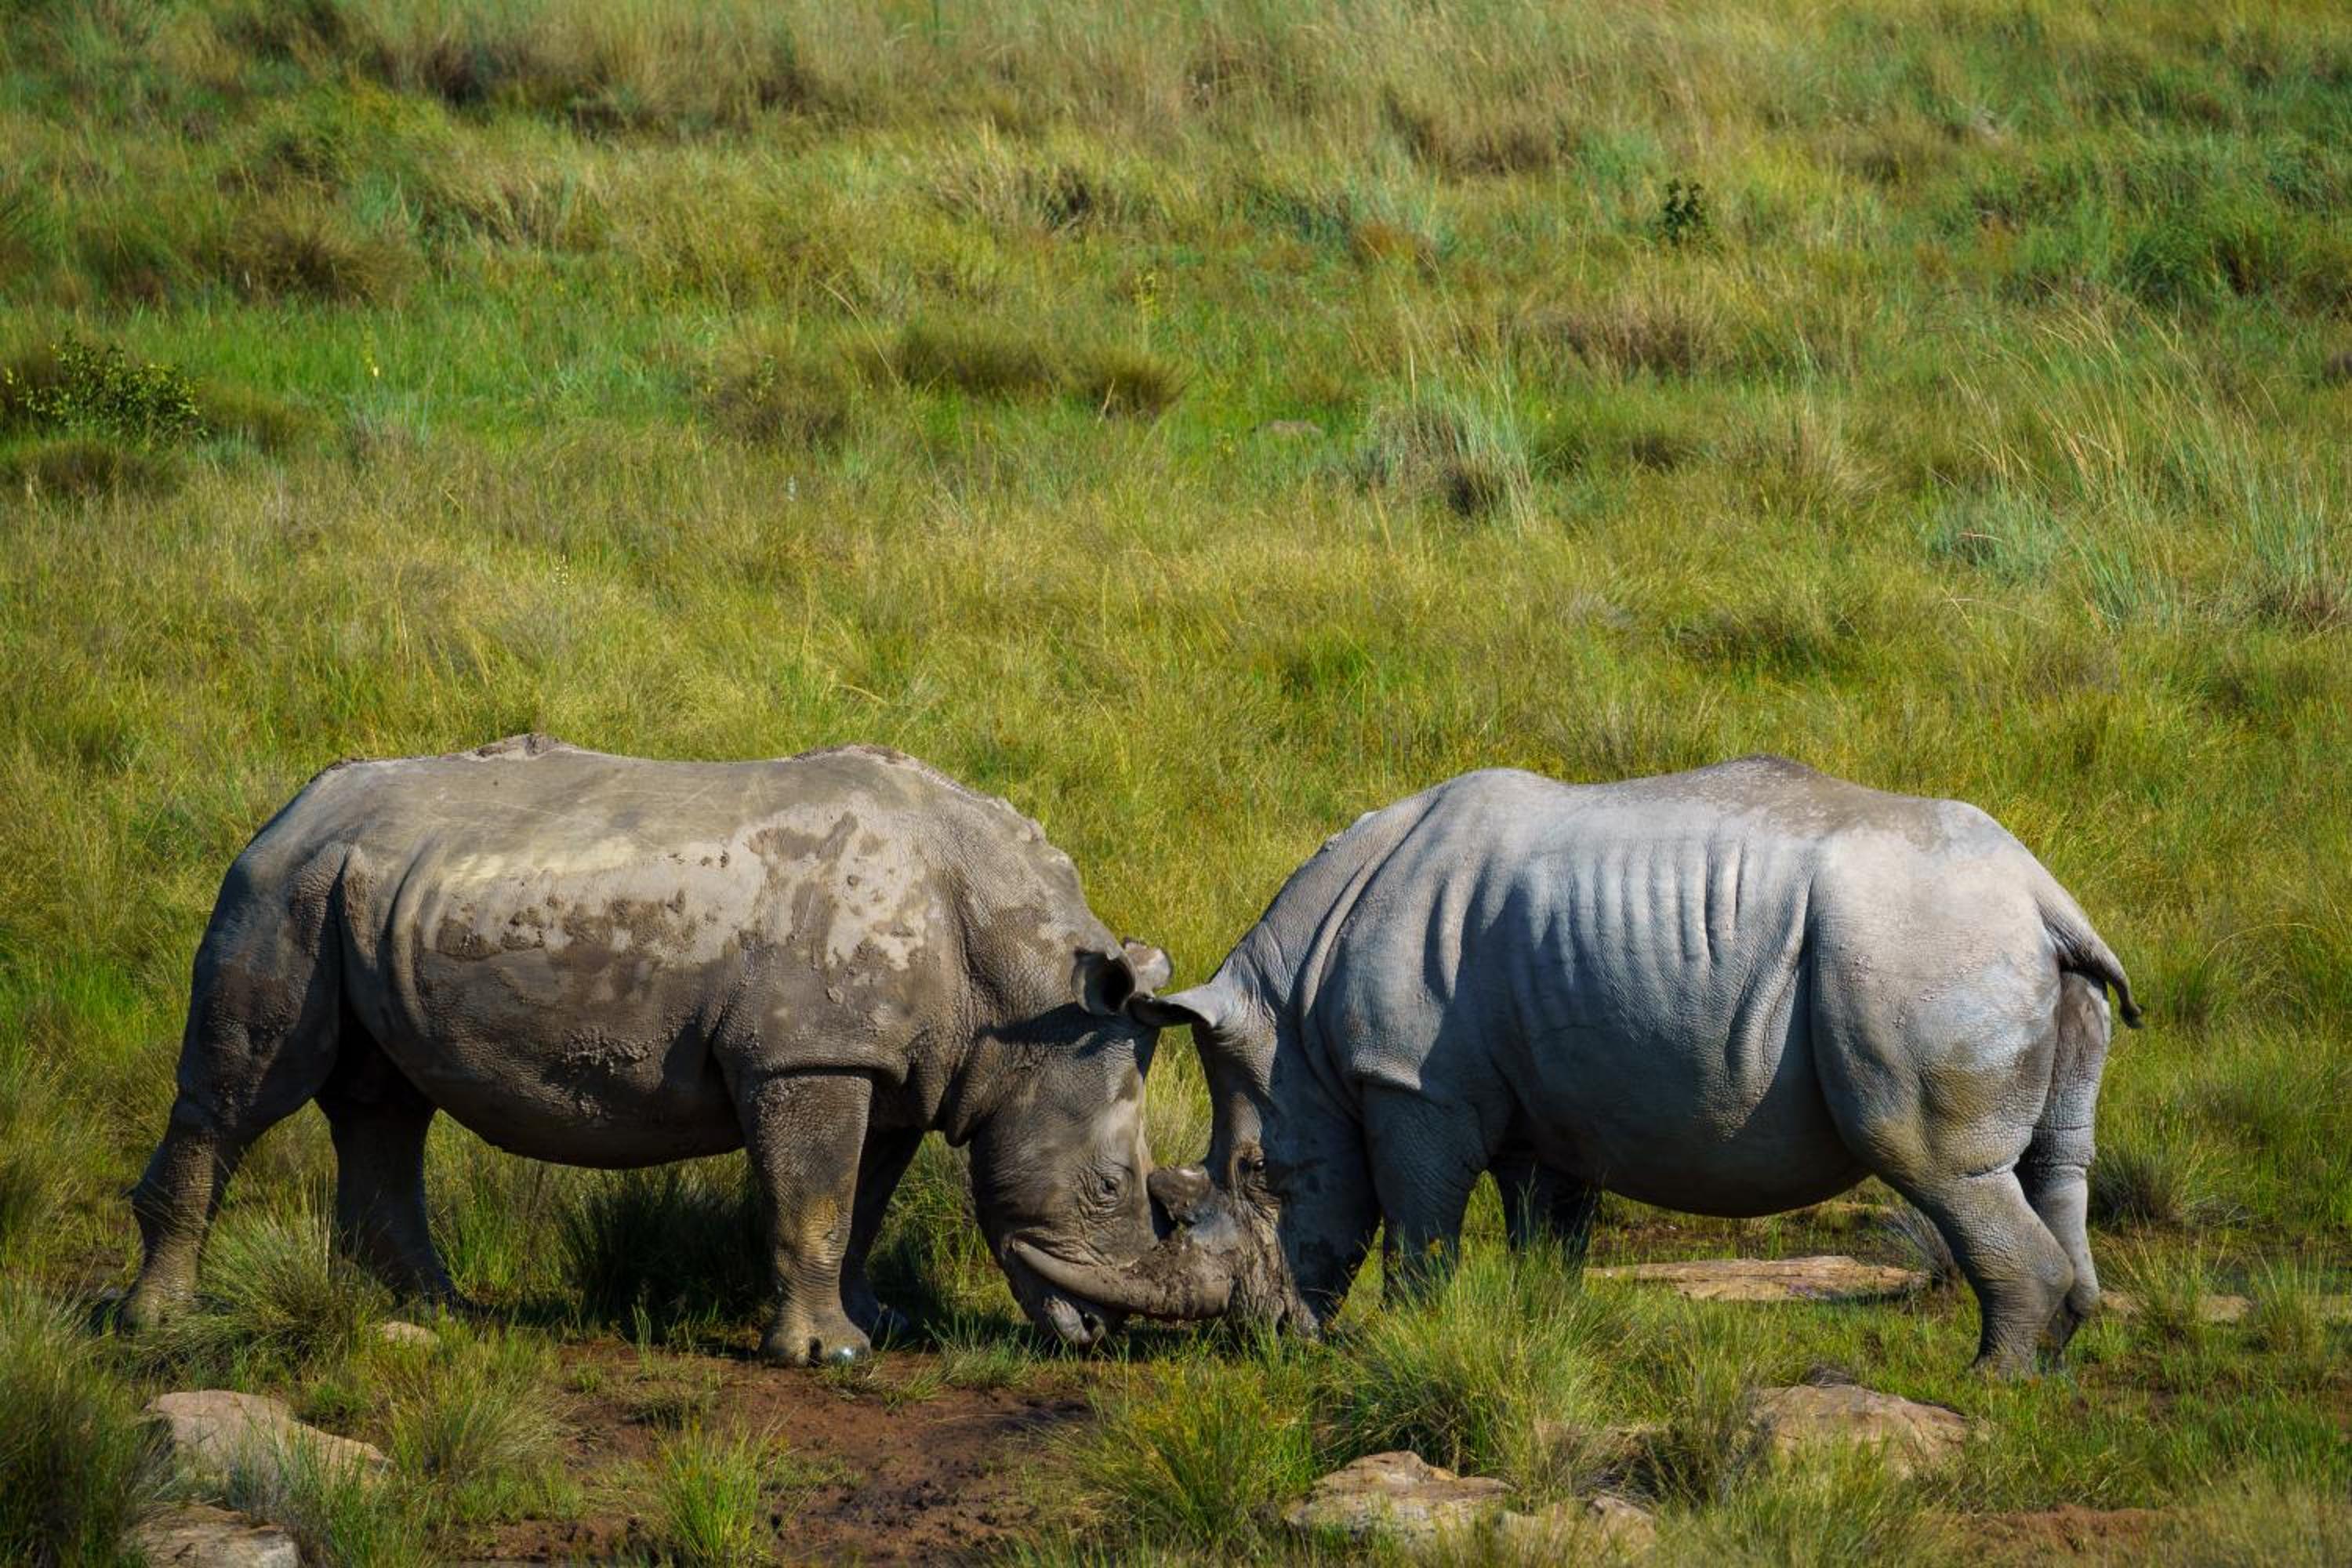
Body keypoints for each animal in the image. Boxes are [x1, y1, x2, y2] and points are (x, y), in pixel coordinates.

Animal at [125, 735, 1228, 1364]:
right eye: (1106, 1189)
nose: (1103, 1337)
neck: (1023, 985)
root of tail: (288, 809)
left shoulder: (884, 1064)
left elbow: (859, 1201)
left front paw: (880, 1326)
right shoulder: (808, 1057)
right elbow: (816, 1201)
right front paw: (827, 1357)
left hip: (360, 886)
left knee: (386, 1104)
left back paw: (442, 1314)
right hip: (283, 887)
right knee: (247, 1093)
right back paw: (159, 1323)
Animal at [1136, 757, 2143, 1373]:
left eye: (1258, 1173)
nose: (1272, 1338)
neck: (1293, 1007)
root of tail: (2042, 895)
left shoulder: (1409, 1081)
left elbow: (1420, 1216)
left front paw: (1413, 1334)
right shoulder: (1545, 1101)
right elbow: (1549, 1226)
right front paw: (1538, 1329)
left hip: (1920, 949)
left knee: (1934, 1162)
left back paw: (1989, 1381)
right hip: (1999, 952)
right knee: (2052, 1157)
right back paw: (2055, 1362)